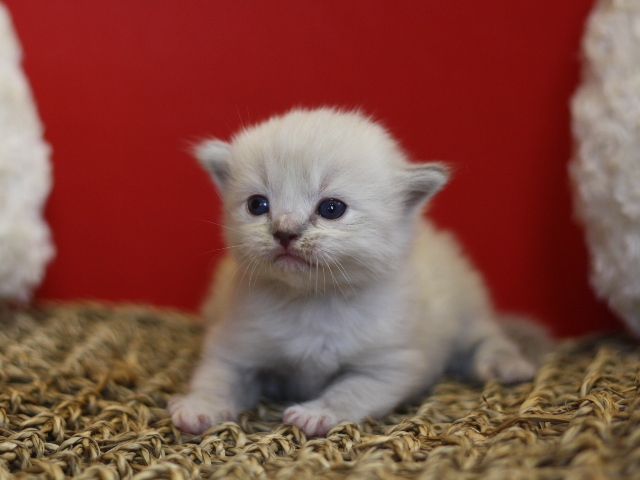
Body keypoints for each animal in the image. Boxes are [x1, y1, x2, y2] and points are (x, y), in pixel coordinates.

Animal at [168, 107, 536, 436]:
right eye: (257, 205)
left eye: (331, 209)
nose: (285, 232)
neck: (313, 301)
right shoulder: (233, 346)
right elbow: (217, 379)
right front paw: (199, 407)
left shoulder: (390, 366)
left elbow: (348, 391)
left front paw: (316, 414)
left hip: (464, 308)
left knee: (484, 335)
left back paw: (507, 365)